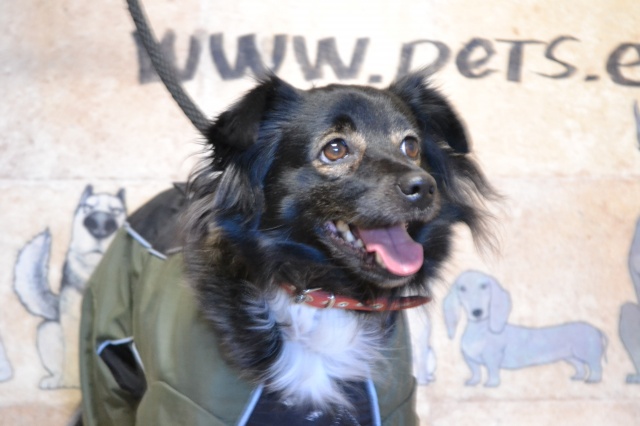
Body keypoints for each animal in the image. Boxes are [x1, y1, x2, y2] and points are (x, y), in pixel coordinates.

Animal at [14, 184, 126, 388]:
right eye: (87, 208)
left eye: (116, 210)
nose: (100, 224)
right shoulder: (73, 319)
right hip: (46, 331)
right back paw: (60, 381)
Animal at [444, 270, 607, 387]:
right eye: (462, 288)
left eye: (484, 286)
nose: (477, 312)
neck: (480, 331)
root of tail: (597, 330)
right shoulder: (470, 360)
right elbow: (476, 372)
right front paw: (472, 382)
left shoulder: (492, 358)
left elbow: (493, 371)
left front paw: (491, 384)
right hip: (571, 356)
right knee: (580, 367)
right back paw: (577, 377)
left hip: (588, 353)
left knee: (596, 366)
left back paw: (593, 379)